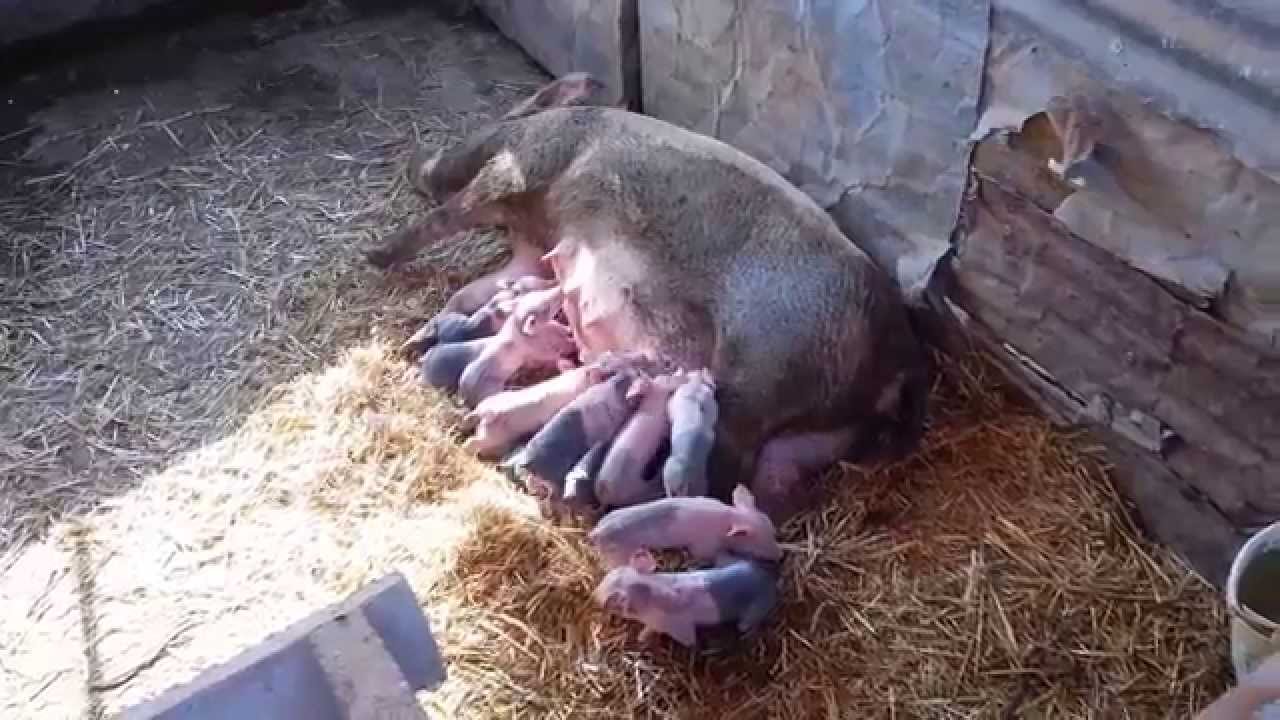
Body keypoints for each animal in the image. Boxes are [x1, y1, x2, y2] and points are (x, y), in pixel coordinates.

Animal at [587, 485, 782, 568]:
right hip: (617, 553)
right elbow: (705, 554)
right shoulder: (702, 546)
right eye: (755, 539)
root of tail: (596, 532)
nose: (780, 556)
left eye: (772, 531)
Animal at [592, 549, 780, 647]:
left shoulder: (678, 628)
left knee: (746, 625)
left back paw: (746, 636)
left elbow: (688, 640)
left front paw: (640, 639)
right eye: (611, 574)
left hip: (757, 608)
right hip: (728, 559)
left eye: (610, 602)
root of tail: (768, 581)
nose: (594, 593)